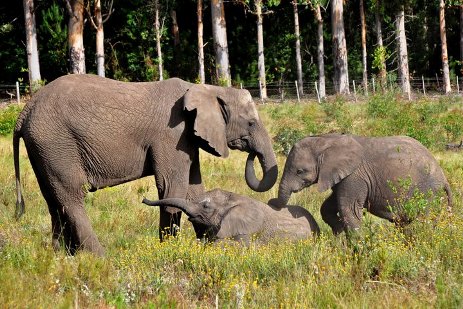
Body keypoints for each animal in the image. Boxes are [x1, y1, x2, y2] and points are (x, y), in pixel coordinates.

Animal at [13, 73, 280, 254]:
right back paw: (99, 257)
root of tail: (24, 112)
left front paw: (206, 248)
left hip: (44, 148)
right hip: (56, 142)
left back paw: (63, 256)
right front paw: (169, 251)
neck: (206, 89)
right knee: (71, 195)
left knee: (53, 198)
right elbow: (172, 188)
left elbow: (194, 190)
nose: (251, 154)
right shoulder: (172, 134)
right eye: (251, 124)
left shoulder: (187, 138)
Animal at [268, 133, 454, 233]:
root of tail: (444, 178)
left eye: (300, 171)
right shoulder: (343, 177)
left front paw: (358, 248)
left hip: (428, 192)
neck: (327, 139)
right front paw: (339, 232)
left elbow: (348, 210)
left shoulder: (355, 176)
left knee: (424, 221)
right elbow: (327, 207)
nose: (271, 201)